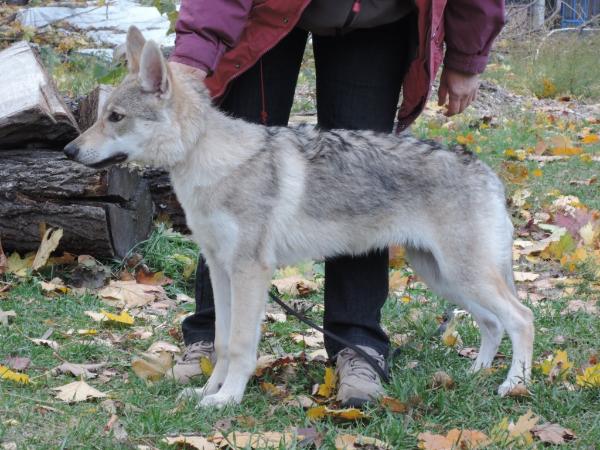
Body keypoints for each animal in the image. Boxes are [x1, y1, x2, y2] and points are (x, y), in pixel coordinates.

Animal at [65, 27, 536, 408]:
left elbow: (240, 345)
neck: (207, 158)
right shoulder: (220, 269)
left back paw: (514, 387)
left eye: (115, 118)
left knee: (522, 318)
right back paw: (475, 374)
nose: (69, 150)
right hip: (445, 278)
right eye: (101, 115)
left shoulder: (250, 271)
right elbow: (220, 340)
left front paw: (227, 400)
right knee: (492, 323)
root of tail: (487, 171)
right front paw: (205, 392)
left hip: (463, 276)